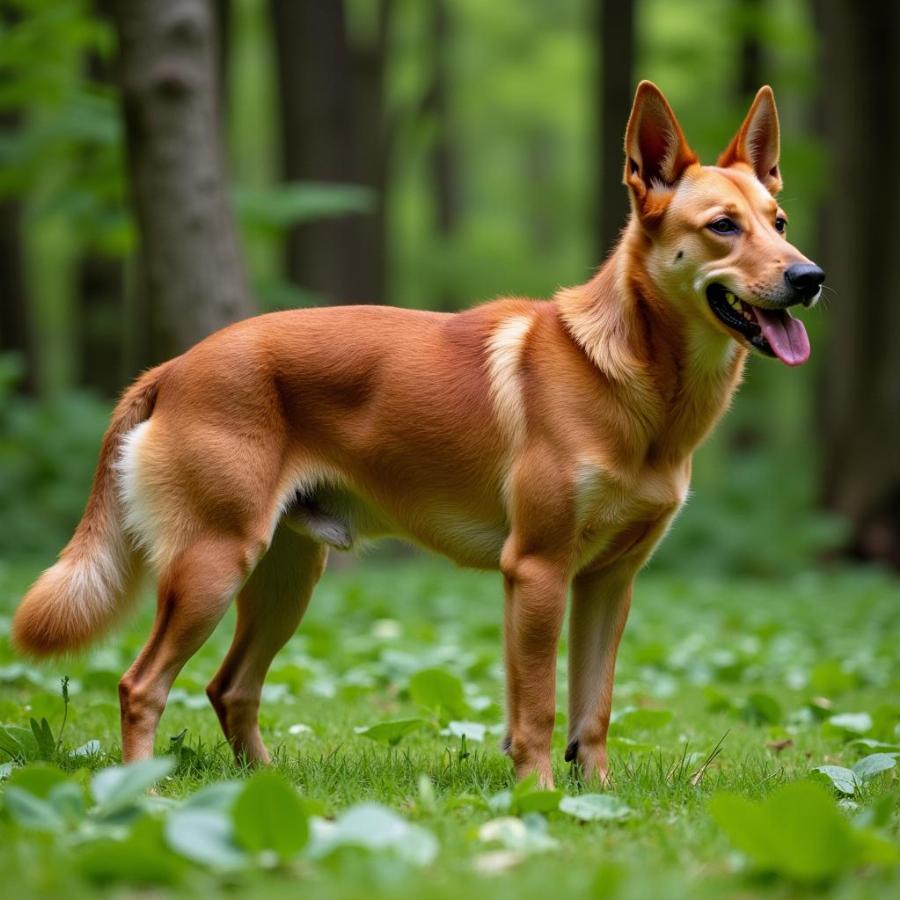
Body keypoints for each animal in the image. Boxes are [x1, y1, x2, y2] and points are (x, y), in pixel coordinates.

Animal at [12, 84, 824, 788]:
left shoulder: (609, 582)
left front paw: (595, 799)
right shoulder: (537, 570)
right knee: (140, 685)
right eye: (723, 226)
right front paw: (539, 799)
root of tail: (173, 368)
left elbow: (592, 711)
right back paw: (138, 795)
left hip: (284, 579)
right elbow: (538, 708)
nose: (810, 276)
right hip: (212, 566)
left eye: (779, 222)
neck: (638, 386)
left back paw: (268, 791)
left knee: (229, 688)